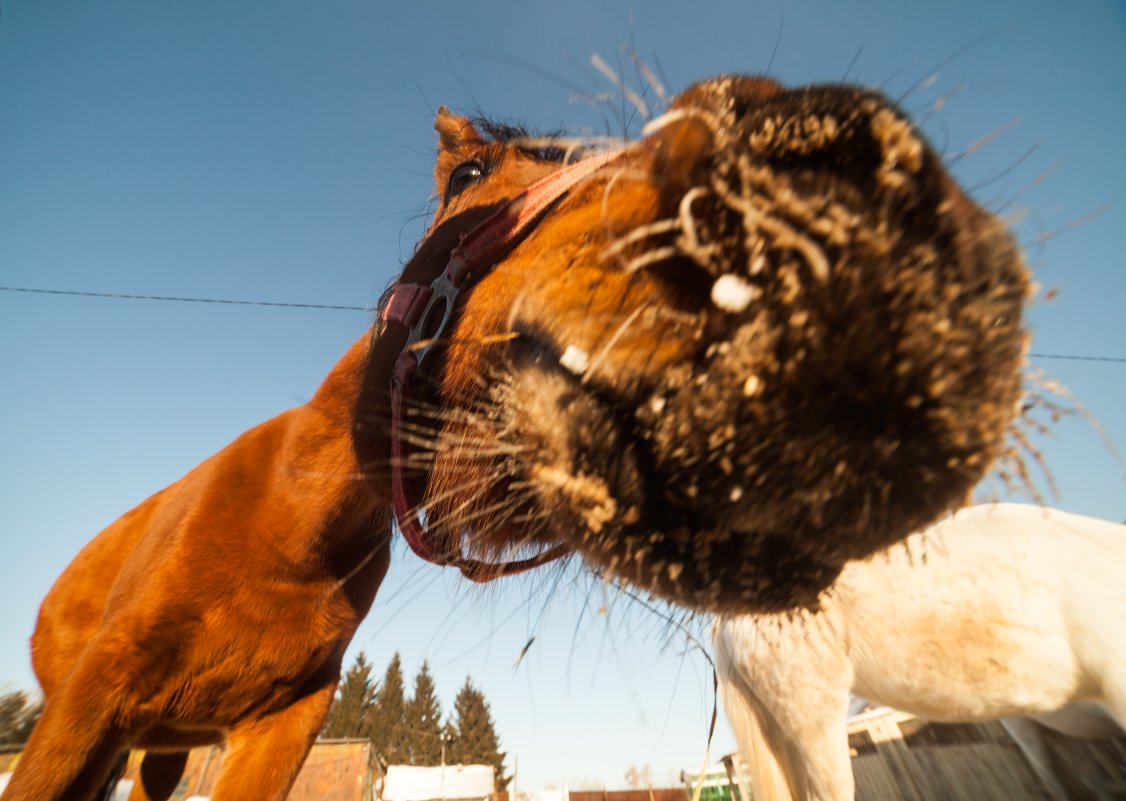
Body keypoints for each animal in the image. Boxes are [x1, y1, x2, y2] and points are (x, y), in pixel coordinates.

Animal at [4, 76, 1031, 801]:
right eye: (466, 177)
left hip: (159, 753)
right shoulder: (84, 711)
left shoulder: (271, 737)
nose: (829, 220)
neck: (284, 533)